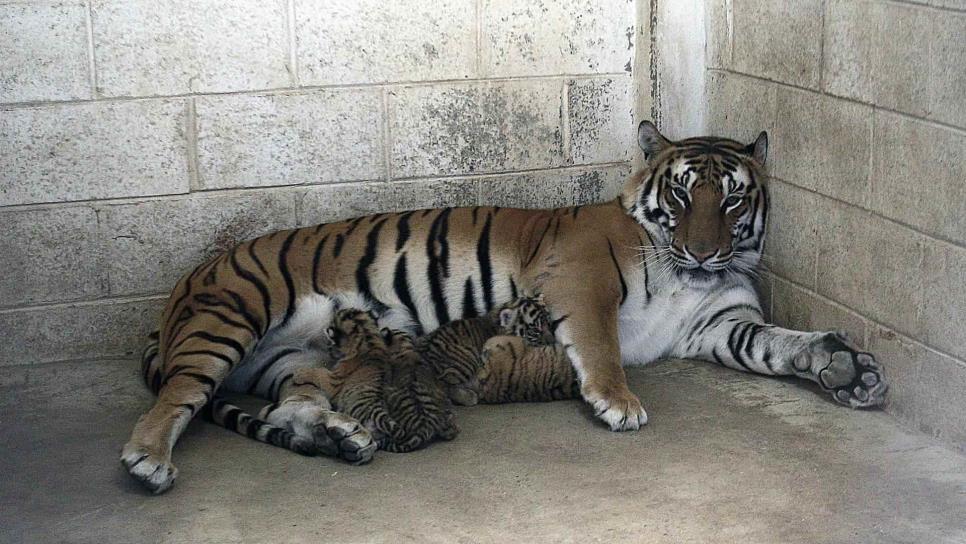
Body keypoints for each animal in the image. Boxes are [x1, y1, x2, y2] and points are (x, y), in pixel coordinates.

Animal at [123, 122, 892, 492]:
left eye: (732, 199)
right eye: (681, 194)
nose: (705, 251)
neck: (690, 277)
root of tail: (180, 294)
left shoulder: (720, 325)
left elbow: (780, 344)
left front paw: (846, 369)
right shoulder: (582, 278)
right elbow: (601, 343)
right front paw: (618, 402)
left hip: (298, 361)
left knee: (291, 407)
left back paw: (343, 437)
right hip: (227, 319)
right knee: (174, 398)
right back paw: (148, 461)